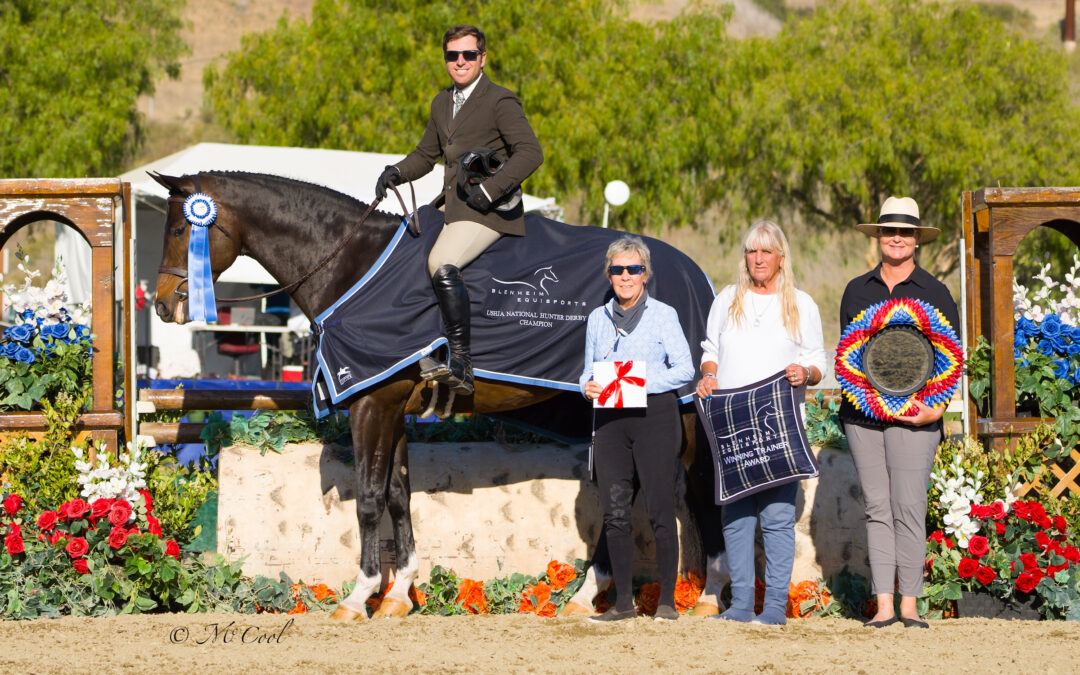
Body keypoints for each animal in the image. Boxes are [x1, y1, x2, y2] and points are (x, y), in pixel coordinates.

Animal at [150, 172, 725, 617]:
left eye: (181, 227)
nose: (161, 305)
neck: (352, 265)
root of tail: (697, 274)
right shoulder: (393, 406)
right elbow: (398, 495)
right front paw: (399, 592)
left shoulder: (372, 404)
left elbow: (368, 499)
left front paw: (359, 596)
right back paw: (593, 594)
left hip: (678, 411)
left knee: (698, 485)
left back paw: (707, 593)